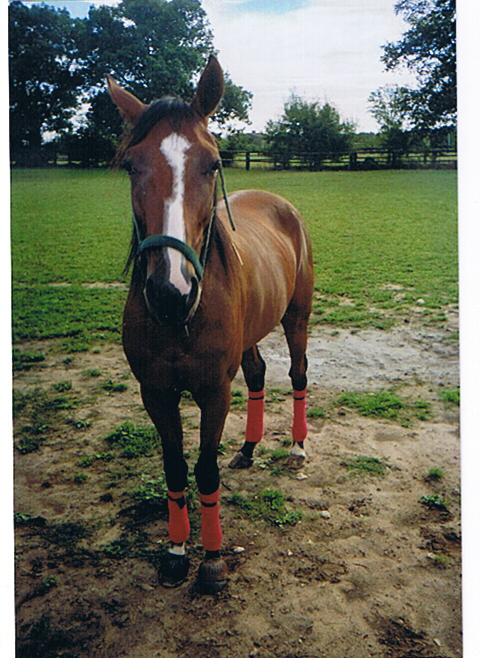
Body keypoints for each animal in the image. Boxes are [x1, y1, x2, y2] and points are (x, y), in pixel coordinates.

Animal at [107, 57, 314, 592]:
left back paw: (297, 447)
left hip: (297, 317)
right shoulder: (156, 392)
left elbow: (204, 470)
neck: (180, 320)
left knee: (298, 374)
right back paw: (249, 448)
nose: (170, 291)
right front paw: (177, 552)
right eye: (131, 165)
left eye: (212, 164)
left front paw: (214, 560)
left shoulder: (214, 391)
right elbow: (175, 468)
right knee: (259, 373)